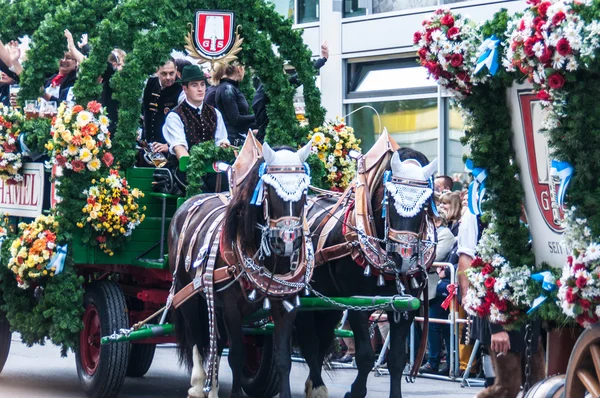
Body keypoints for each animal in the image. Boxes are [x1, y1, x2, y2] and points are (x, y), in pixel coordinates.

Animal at [166, 143, 312, 398]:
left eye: (304, 192)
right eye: (270, 191)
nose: (287, 240)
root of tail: (187, 203)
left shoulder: (287, 306)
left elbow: (283, 360)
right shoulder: (232, 308)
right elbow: (236, 356)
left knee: (214, 342)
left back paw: (212, 386)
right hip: (187, 293)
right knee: (196, 337)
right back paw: (198, 385)